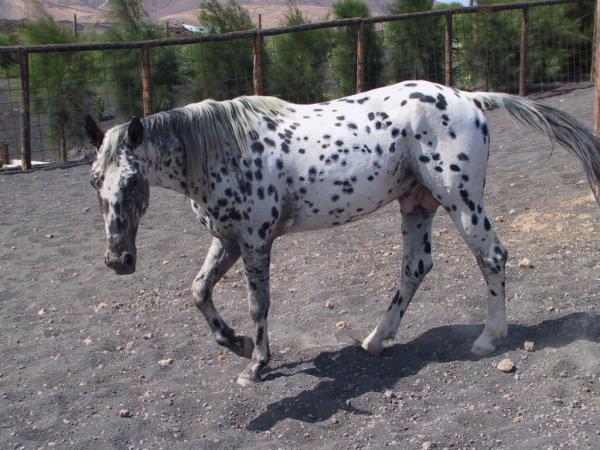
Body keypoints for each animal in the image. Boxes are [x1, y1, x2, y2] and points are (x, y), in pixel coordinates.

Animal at [85, 79, 600, 384]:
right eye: (94, 181)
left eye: (131, 181)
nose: (118, 260)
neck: (221, 150)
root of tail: (470, 99)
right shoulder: (226, 239)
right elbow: (198, 290)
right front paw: (235, 342)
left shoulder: (254, 240)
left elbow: (258, 304)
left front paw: (256, 364)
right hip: (416, 204)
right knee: (416, 267)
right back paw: (375, 340)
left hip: (461, 200)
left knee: (491, 256)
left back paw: (489, 339)